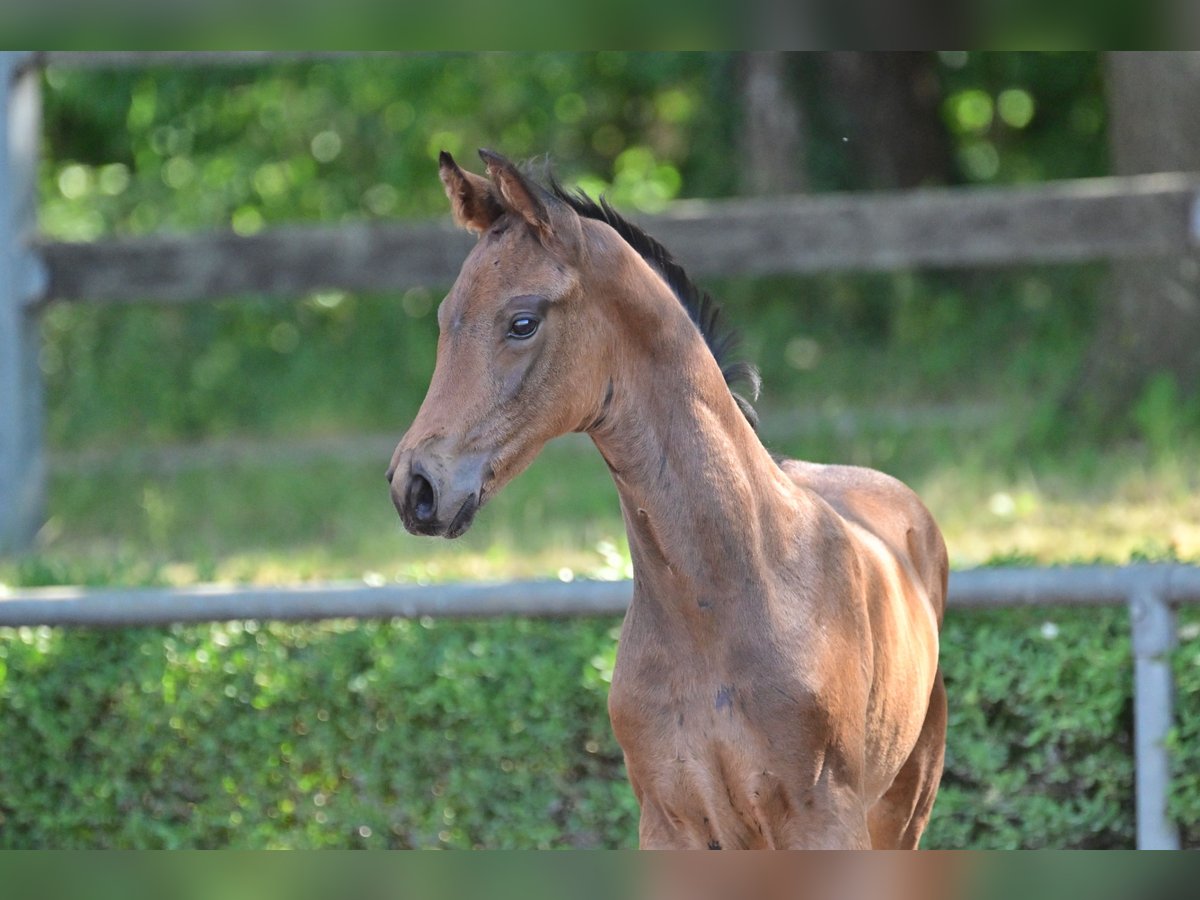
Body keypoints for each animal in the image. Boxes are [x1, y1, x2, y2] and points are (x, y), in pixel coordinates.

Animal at [386, 150, 945, 854]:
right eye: (444, 319)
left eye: (522, 322)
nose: (415, 487)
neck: (722, 604)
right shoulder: (668, 819)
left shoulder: (825, 822)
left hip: (903, 809)